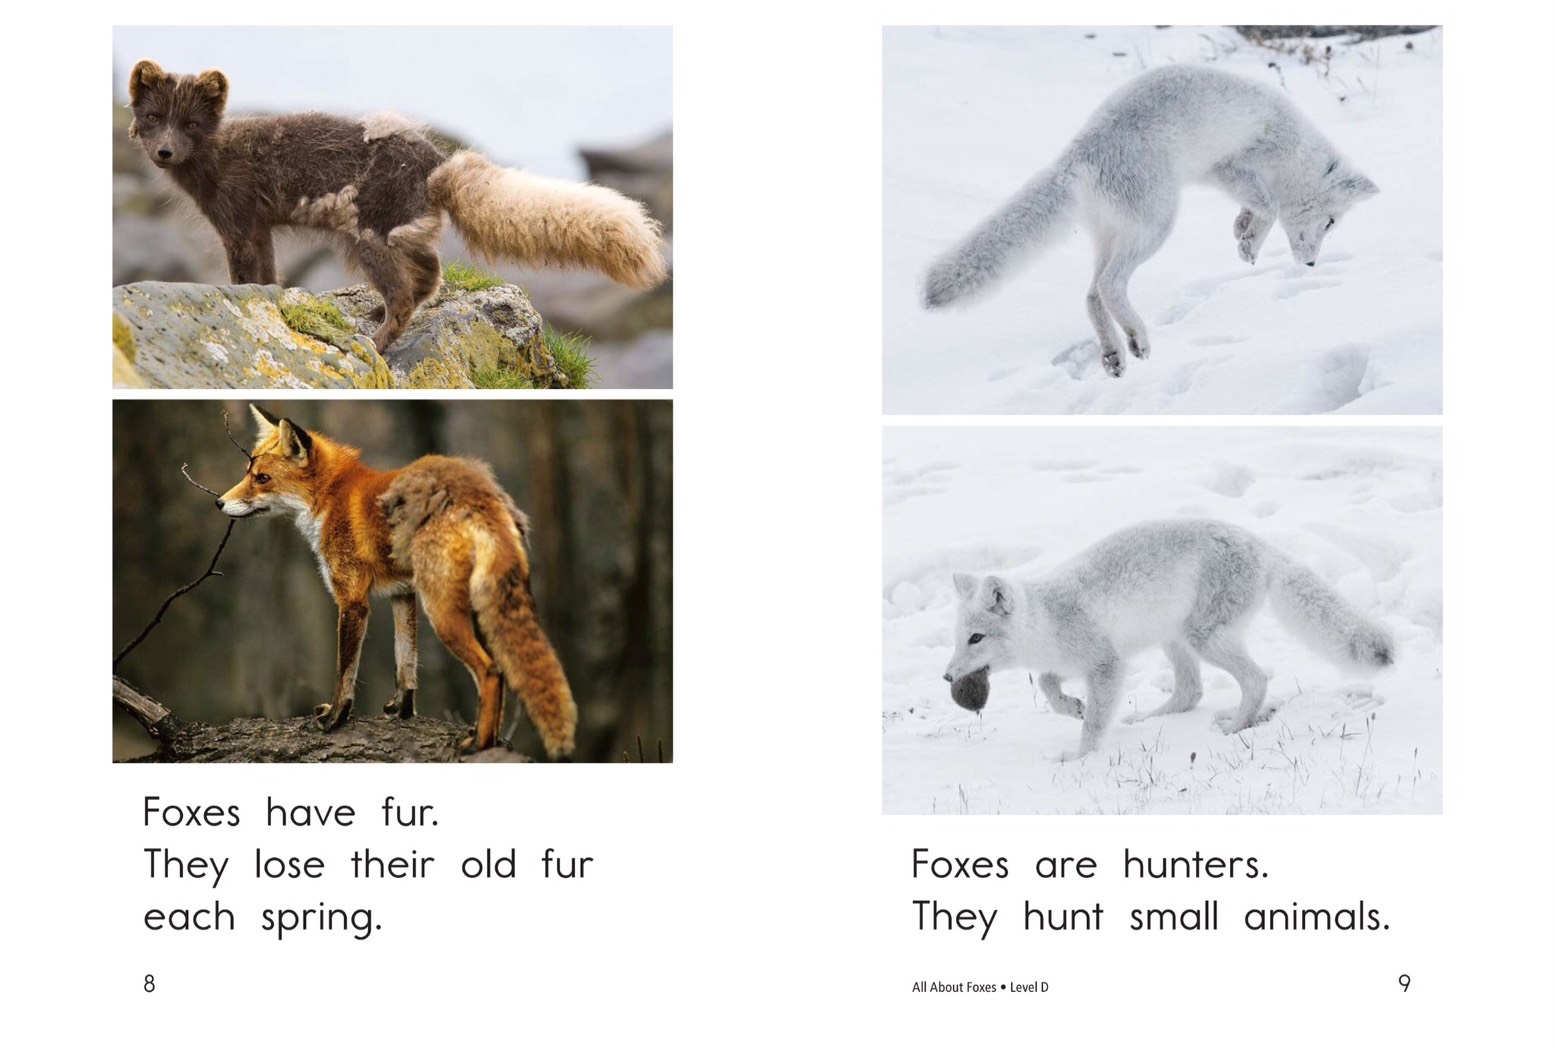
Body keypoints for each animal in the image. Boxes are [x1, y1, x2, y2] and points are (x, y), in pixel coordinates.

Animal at [126, 60, 667, 354]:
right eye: (152, 118)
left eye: (191, 124)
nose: (165, 151)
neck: (217, 157)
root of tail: (436, 164)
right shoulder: (258, 227)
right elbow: (268, 277)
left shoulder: (237, 225)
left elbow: (246, 278)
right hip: (396, 232)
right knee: (430, 272)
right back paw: (376, 314)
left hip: (369, 237)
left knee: (406, 296)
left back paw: (378, 341)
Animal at [216, 405, 577, 759]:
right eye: (248, 473)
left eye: (263, 479)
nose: (219, 502)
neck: (330, 497)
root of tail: (478, 491)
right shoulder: (403, 594)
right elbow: (405, 663)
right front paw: (403, 710)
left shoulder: (353, 600)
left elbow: (345, 671)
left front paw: (336, 718)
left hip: (443, 611)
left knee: (491, 671)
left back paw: (481, 744)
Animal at [922, 65, 1380, 378]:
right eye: (1331, 222)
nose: (1312, 264)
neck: (1295, 150)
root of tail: (1077, 158)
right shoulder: (1230, 165)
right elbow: (1267, 205)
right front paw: (1248, 242)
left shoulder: (1220, 175)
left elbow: (1259, 209)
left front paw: (1241, 230)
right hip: (1157, 225)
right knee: (1109, 285)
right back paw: (1137, 335)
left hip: (1114, 235)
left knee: (1092, 294)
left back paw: (1115, 354)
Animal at [942, 520, 1394, 760]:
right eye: (959, 638)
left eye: (977, 638)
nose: (947, 677)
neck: (1046, 622)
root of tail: (1256, 542)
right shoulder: (1068, 664)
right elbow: (1048, 686)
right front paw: (1070, 707)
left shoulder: (1106, 664)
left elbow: (1094, 722)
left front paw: (1082, 756)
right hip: (1174, 639)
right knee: (1191, 693)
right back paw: (1149, 718)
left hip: (1202, 637)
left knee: (1256, 679)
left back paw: (1236, 727)